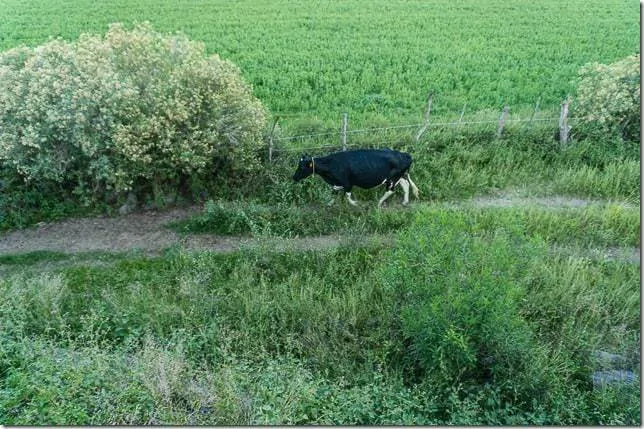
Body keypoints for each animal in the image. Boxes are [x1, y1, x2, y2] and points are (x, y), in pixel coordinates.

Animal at [294, 148, 422, 206]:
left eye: (302, 167)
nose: (294, 177)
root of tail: (405, 154)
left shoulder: (347, 183)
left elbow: (348, 196)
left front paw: (356, 204)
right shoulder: (336, 183)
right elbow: (334, 194)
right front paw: (329, 204)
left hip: (392, 179)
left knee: (390, 191)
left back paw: (379, 203)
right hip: (399, 176)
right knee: (405, 184)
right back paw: (405, 202)